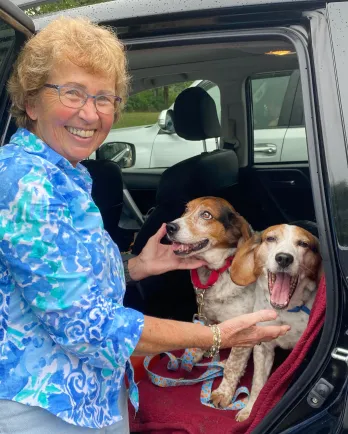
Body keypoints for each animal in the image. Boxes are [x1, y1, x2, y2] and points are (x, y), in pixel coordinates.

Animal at [166, 198, 253, 364]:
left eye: (206, 215)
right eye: (186, 209)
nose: (169, 227)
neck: (215, 271)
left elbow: (232, 364)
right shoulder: (206, 315)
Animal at [211, 225, 322, 422]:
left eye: (303, 244)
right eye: (270, 238)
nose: (284, 258)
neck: (284, 312)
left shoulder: (301, 350)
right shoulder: (262, 347)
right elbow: (258, 383)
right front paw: (250, 411)